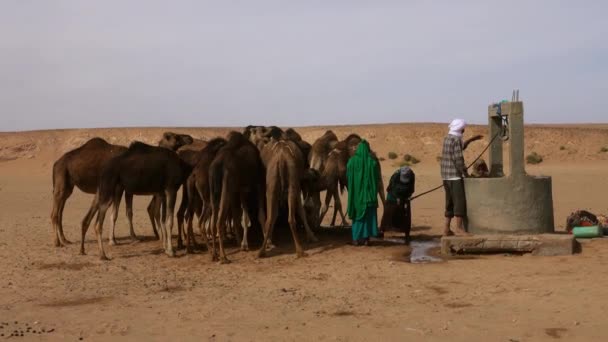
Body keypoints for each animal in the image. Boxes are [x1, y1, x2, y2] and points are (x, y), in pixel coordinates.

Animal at [209, 132, 266, 264]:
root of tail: (218, 164)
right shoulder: (258, 183)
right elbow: (260, 214)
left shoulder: (241, 189)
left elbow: (242, 216)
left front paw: (243, 245)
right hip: (227, 183)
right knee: (220, 220)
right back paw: (224, 257)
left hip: (214, 188)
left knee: (213, 221)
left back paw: (214, 255)